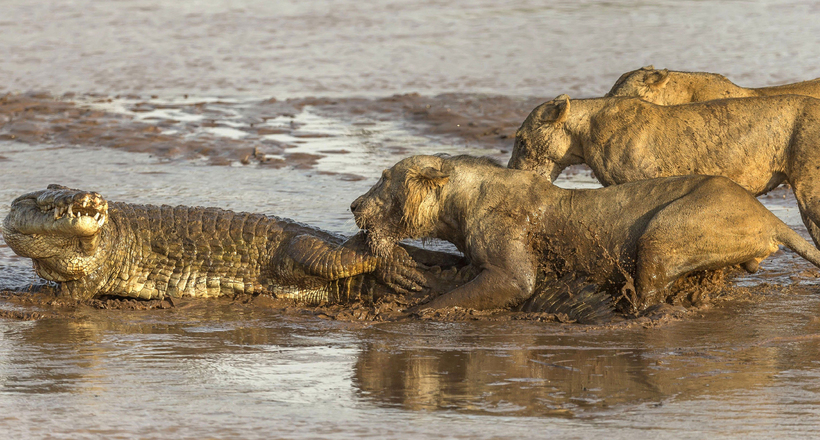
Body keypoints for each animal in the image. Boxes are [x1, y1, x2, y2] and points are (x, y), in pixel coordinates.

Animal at [350, 155, 820, 312]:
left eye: (383, 179)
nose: (354, 205)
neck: (457, 206)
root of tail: (767, 216)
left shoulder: (511, 271)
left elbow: (468, 294)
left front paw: (414, 313)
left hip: (663, 232)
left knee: (650, 292)